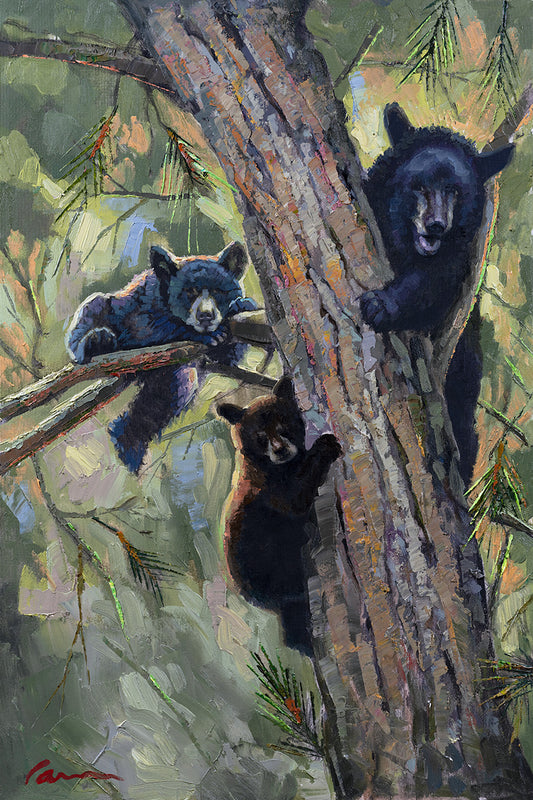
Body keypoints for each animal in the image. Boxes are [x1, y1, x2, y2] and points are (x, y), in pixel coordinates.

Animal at [66, 241, 258, 473]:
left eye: (218, 291)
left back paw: (129, 445)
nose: (205, 315)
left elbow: (226, 357)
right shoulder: (143, 308)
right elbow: (153, 328)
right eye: (189, 291)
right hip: (105, 311)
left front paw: (243, 305)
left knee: (170, 394)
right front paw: (203, 333)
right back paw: (96, 342)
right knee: (93, 307)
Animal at [217, 377, 342, 654]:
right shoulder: (268, 487)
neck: (278, 466)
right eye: (261, 436)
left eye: (283, 425)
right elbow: (295, 498)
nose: (280, 450)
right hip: (267, 560)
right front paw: (326, 444)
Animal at [360, 103, 514, 485]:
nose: (436, 226)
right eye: (419, 185)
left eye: (456, 191)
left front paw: (381, 305)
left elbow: (429, 286)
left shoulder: (457, 263)